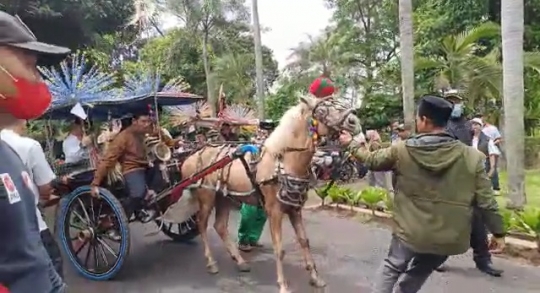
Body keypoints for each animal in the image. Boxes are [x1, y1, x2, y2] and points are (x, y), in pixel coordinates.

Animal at [179, 94, 360, 290]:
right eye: (321, 110)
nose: (354, 122)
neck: (284, 161)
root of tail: (190, 157)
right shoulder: (274, 211)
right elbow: (279, 249)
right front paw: (283, 285)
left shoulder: (295, 209)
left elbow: (304, 241)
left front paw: (315, 278)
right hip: (206, 196)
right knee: (202, 224)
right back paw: (212, 263)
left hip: (224, 198)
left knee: (219, 226)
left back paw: (240, 261)